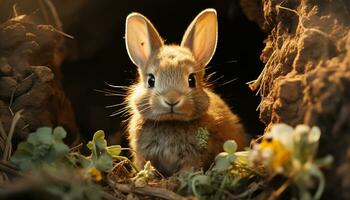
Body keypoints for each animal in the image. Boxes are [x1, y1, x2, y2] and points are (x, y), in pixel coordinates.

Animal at [123, 8, 246, 177]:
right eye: (151, 80)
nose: (171, 100)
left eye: (191, 80)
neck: (171, 122)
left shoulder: (194, 157)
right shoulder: (144, 155)